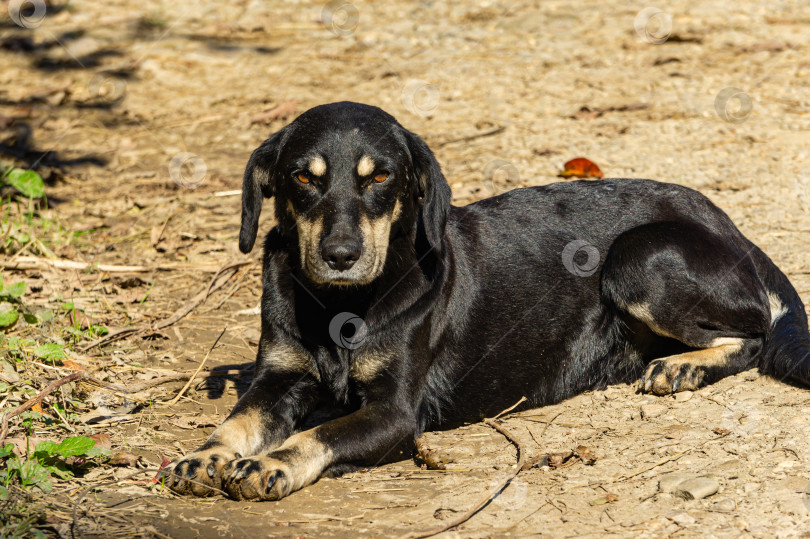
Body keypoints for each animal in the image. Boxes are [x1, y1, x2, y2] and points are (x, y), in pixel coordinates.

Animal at [164, 100, 808, 502]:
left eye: (381, 177)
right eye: (303, 177)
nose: (341, 254)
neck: (337, 307)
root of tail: (727, 223)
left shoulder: (396, 414)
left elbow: (318, 436)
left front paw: (270, 463)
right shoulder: (279, 376)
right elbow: (239, 420)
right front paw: (206, 455)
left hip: (639, 258)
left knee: (753, 333)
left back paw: (683, 366)